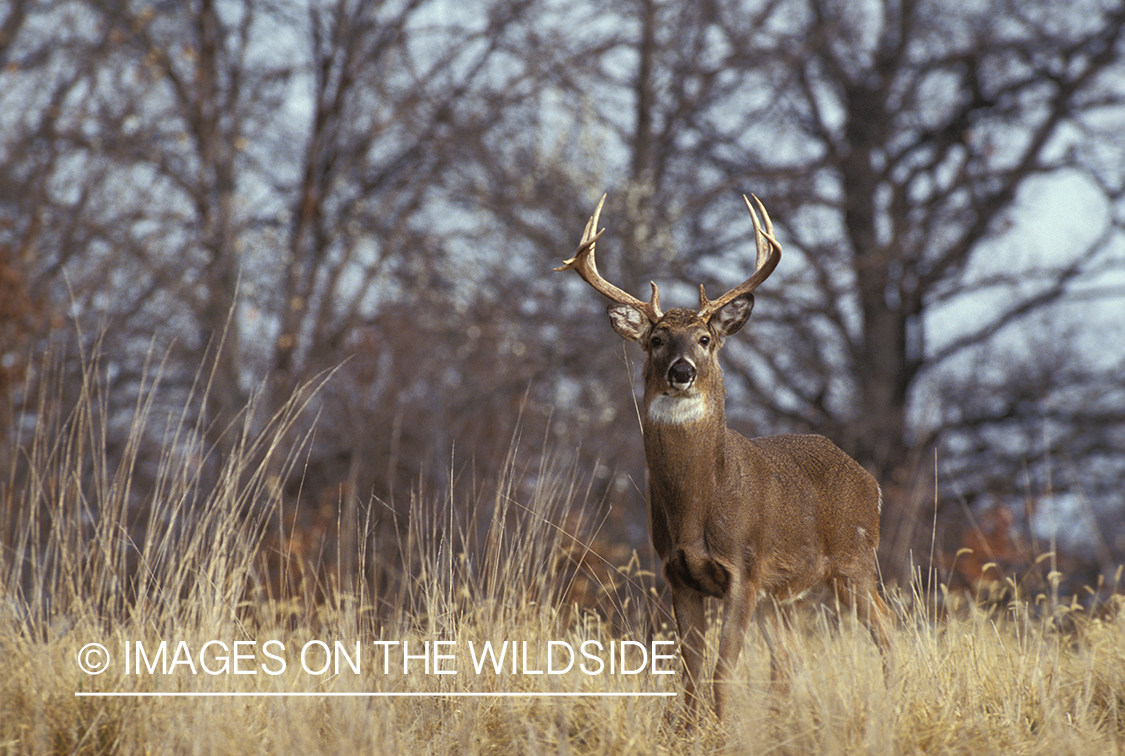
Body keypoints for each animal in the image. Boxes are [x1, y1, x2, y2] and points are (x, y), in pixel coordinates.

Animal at [558, 193, 891, 720]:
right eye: (656, 340)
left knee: (888, 631)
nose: (682, 371)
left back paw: (890, 705)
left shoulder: (744, 570)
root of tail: (871, 483)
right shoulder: (678, 575)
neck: (698, 506)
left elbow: (720, 670)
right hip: (784, 594)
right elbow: (690, 675)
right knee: (788, 662)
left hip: (854, 560)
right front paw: (693, 728)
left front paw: (720, 726)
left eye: (705, 339)